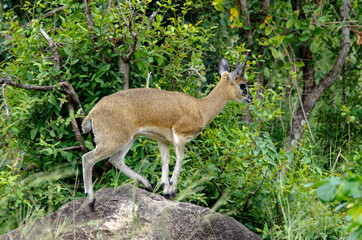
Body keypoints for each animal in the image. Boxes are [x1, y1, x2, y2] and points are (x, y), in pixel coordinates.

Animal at [81, 57, 252, 210]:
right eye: (243, 84)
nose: (250, 98)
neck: (201, 109)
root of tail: (92, 114)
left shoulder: (163, 141)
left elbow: (165, 160)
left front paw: (165, 190)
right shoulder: (179, 135)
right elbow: (180, 159)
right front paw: (172, 191)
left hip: (130, 139)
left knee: (116, 159)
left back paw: (147, 185)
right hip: (115, 140)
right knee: (88, 158)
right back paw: (91, 201)